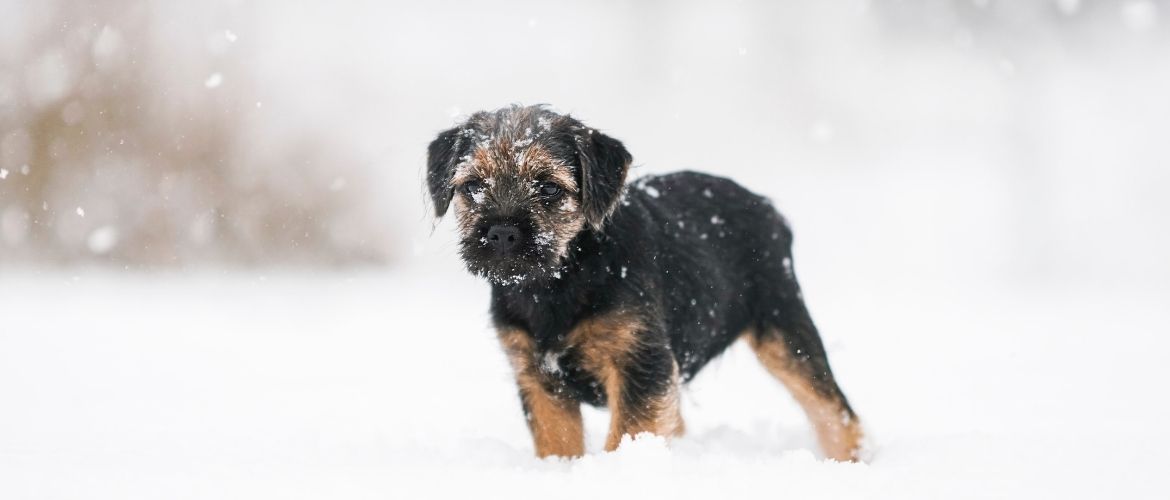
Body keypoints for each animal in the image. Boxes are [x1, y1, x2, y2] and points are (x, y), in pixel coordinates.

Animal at [425, 104, 865, 461]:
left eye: (548, 186)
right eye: (472, 186)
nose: (501, 232)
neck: (558, 282)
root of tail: (768, 207)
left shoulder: (640, 363)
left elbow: (630, 431)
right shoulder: (539, 378)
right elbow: (558, 441)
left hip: (784, 326)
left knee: (833, 409)